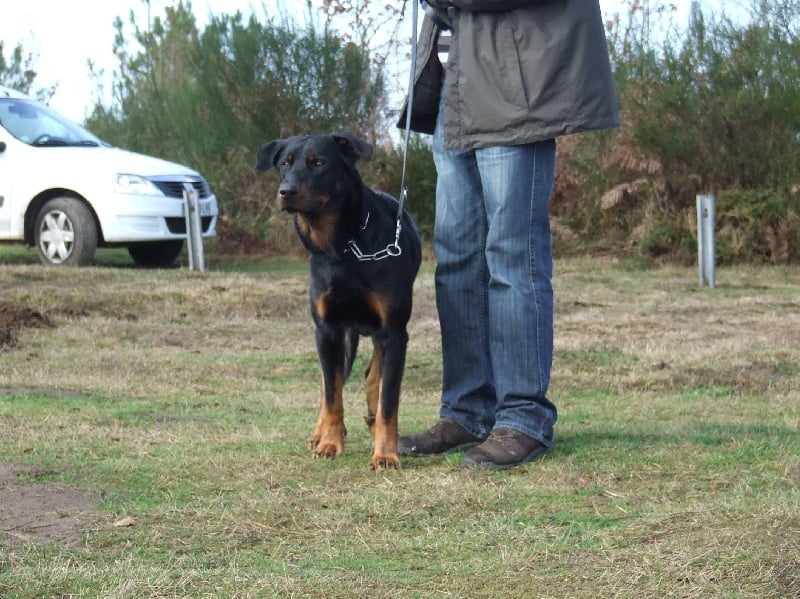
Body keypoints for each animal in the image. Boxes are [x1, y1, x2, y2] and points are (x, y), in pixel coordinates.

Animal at [256, 134, 422, 472]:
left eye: (318, 163)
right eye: (284, 163)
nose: (286, 191)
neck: (344, 248)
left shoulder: (394, 332)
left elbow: (388, 399)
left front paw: (386, 454)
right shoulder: (328, 329)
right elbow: (332, 393)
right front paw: (330, 442)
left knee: (373, 377)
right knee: (329, 382)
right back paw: (319, 434)